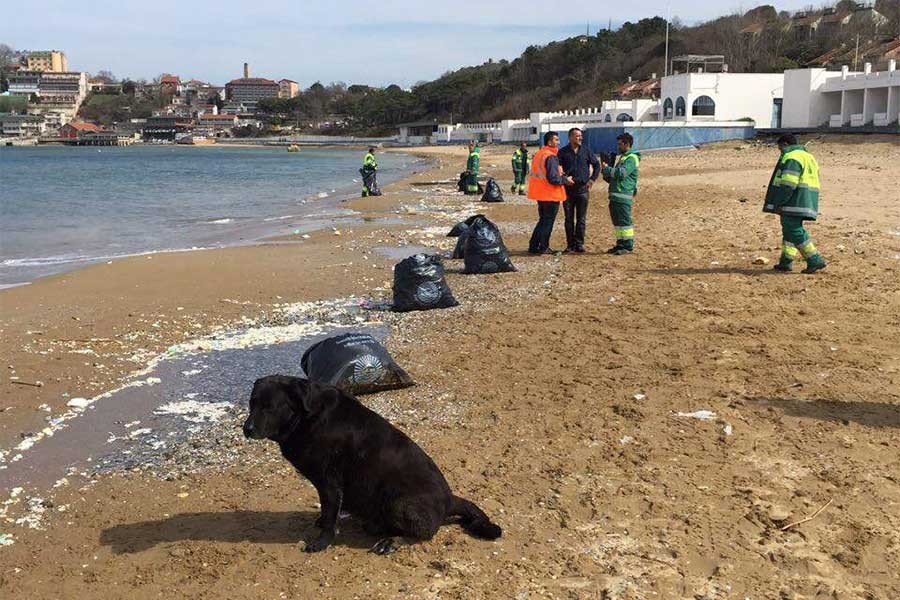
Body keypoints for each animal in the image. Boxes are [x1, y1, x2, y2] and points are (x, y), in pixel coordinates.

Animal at [243, 376, 502, 552]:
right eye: (251, 404)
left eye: (270, 407)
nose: (247, 429)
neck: (306, 417)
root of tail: (450, 500)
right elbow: (327, 513)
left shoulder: (330, 483)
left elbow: (330, 516)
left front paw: (321, 542)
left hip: (398, 502)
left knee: (424, 534)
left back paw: (391, 541)